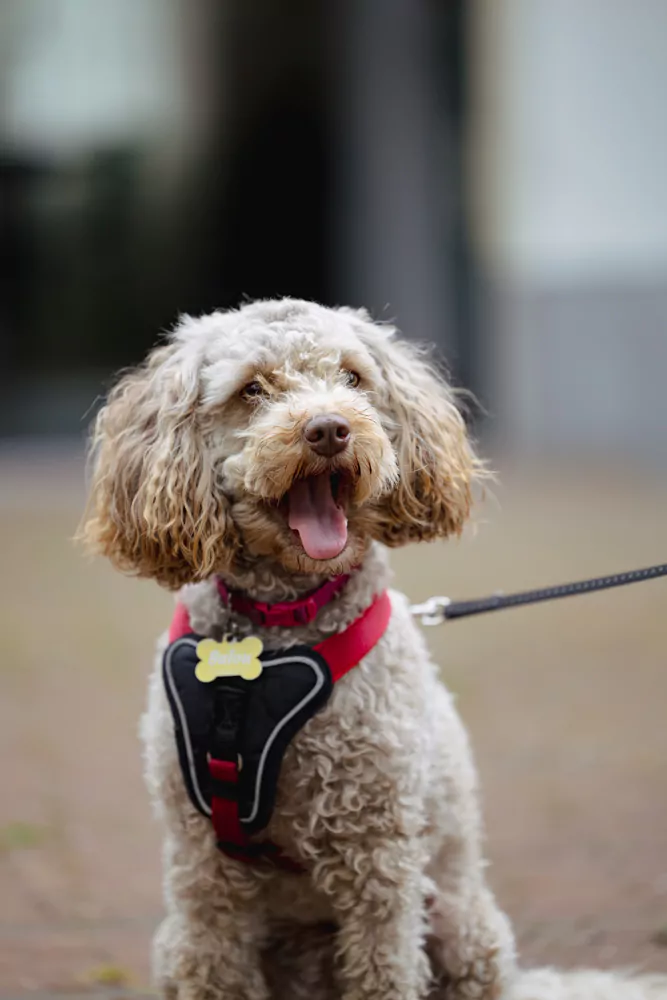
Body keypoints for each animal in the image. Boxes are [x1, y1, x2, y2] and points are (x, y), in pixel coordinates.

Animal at [80, 299, 667, 1000]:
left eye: (353, 377)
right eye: (252, 390)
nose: (329, 430)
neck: (281, 624)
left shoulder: (378, 856)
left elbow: (385, 968)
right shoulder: (202, 869)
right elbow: (215, 967)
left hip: (464, 927)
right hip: (175, 944)